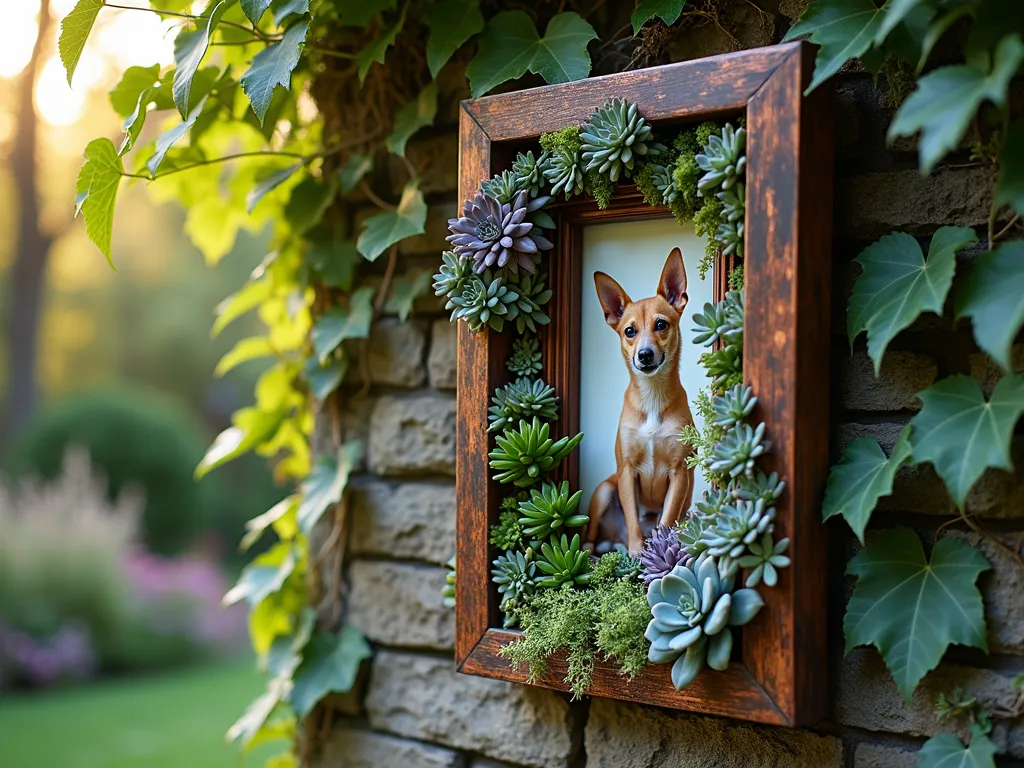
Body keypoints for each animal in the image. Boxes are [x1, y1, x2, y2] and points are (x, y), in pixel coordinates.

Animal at [585, 249, 696, 557]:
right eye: (629, 331)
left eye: (661, 324)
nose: (644, 355)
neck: (652, 395)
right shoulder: (626, 472)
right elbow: (633, 517)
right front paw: (637, 552)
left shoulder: (679, 473)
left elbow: (667, 518)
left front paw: (659, 550)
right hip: (603, 492)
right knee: (593, 533)